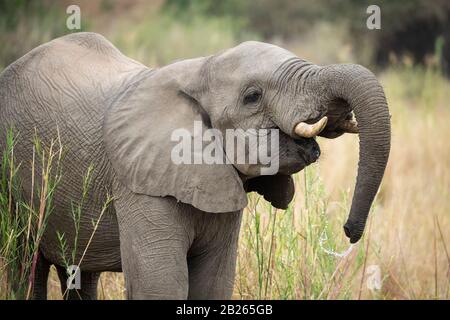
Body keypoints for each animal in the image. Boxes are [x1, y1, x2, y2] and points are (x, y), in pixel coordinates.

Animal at [0, 32, 388, 300]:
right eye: (252, 96)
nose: (350, 231)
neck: (200, 68)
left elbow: (213, 285)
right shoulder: (140, 184)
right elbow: (161, 288)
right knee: (23, 263)